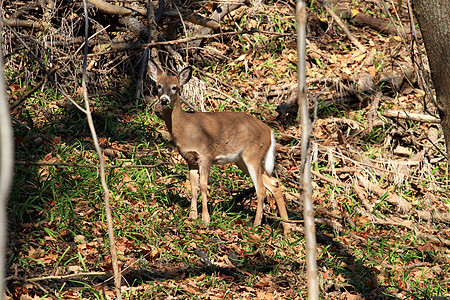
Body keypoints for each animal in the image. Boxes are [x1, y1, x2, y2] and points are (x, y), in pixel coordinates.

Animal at [150, 60, 292, 234]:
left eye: (175, 87)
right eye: (158, 85)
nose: (164, 100)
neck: (185, 127)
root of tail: (270, 132)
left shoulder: (206, 154)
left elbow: (203, 186)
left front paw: (205, 220)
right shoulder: (190, 159)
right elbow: (193, 186)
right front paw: (192, 216)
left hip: (253, 155)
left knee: (261, 189)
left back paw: (256, 225)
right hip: (241, 160)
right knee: (274, 184)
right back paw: (287, 228)